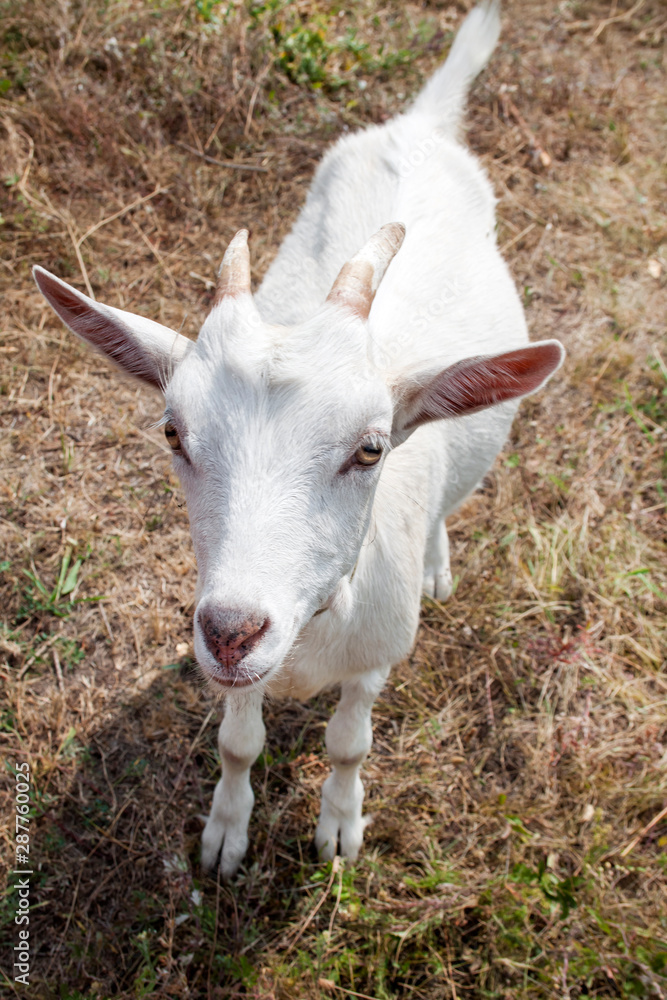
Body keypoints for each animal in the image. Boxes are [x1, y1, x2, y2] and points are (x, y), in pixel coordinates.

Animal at [34, 1, 564, 877]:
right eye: (173, 431)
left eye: (370, 448)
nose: (231, 630)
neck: (313, 628)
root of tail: (421, 123)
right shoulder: (244, 663)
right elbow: (237, 744)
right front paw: (224, 835)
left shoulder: (375, 656)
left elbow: (350, 743)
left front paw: (339, 830)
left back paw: (437, 562)